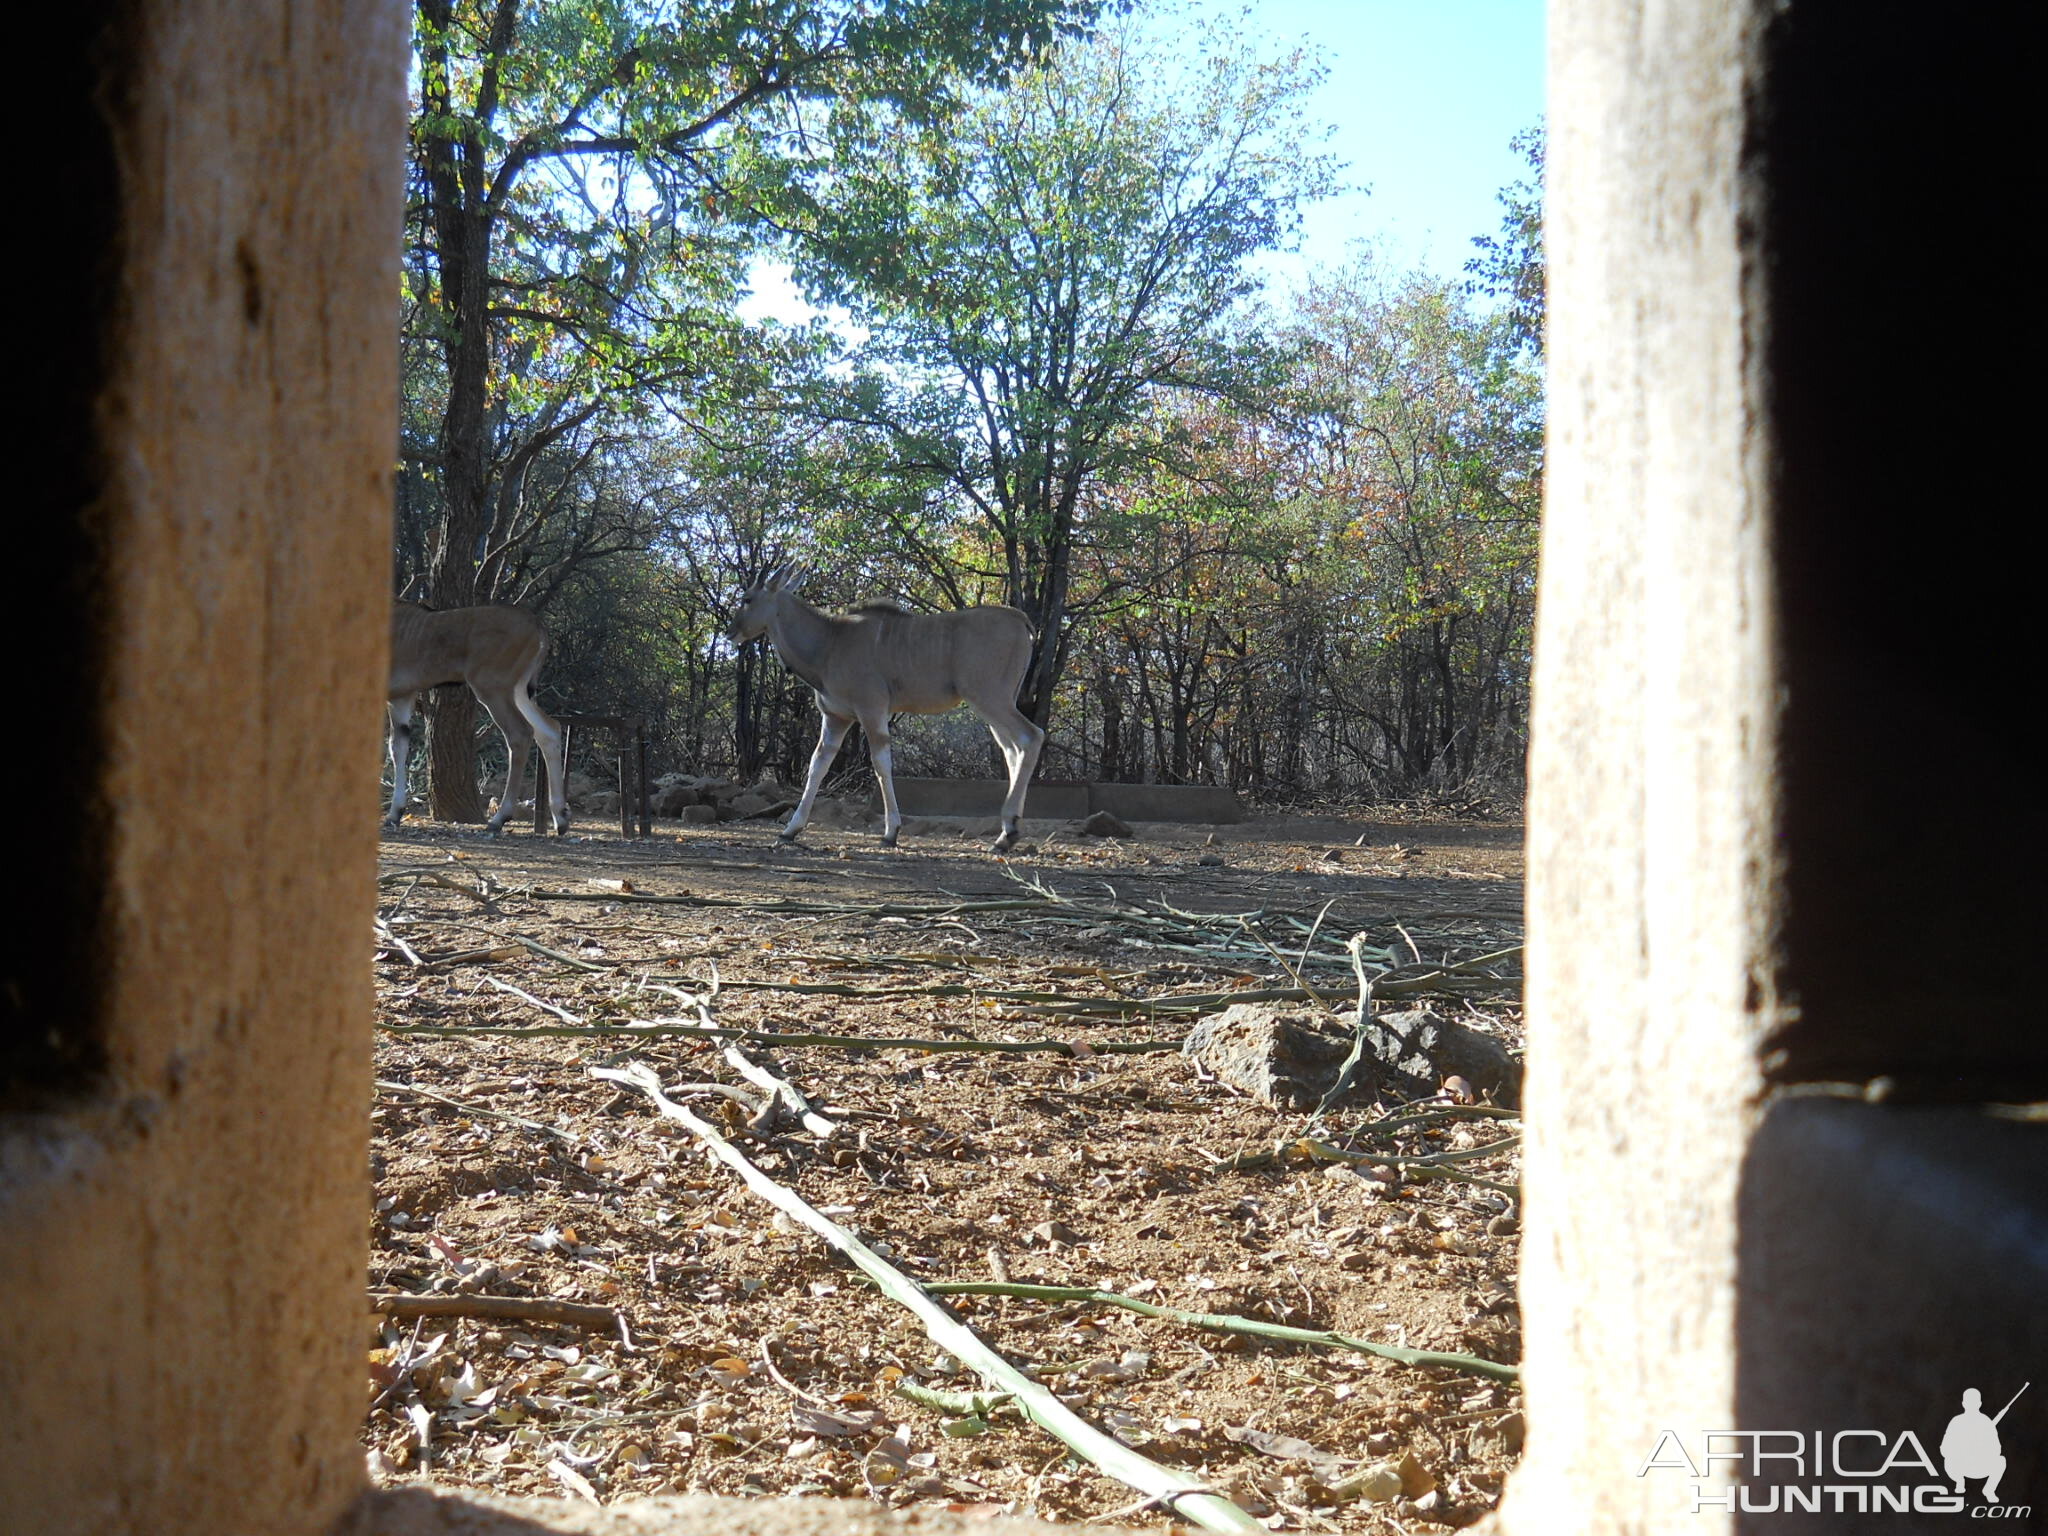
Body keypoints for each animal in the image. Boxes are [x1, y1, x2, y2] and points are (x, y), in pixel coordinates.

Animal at [385, 606, 569, 843]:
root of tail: (537, 625)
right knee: (549, 730)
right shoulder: (401, 698)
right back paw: (560, 818)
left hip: (493, 690)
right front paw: (394, 814)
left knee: (520, 733)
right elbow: (397, 748)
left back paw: (499, 819)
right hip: (518, 692)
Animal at [733, 569, 1048, 860]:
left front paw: (890, 832)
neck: (830, 642)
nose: (730, 632)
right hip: (996, 702)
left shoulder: (871, 709)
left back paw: (1007, 835)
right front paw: (790, 830)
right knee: (1013, 748)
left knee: (1031, 736)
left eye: (747, 599)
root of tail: (1020, 620)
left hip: (989, 697)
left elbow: (880, 763)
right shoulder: (836, 718)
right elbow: (817, 765)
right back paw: (1007, 831)